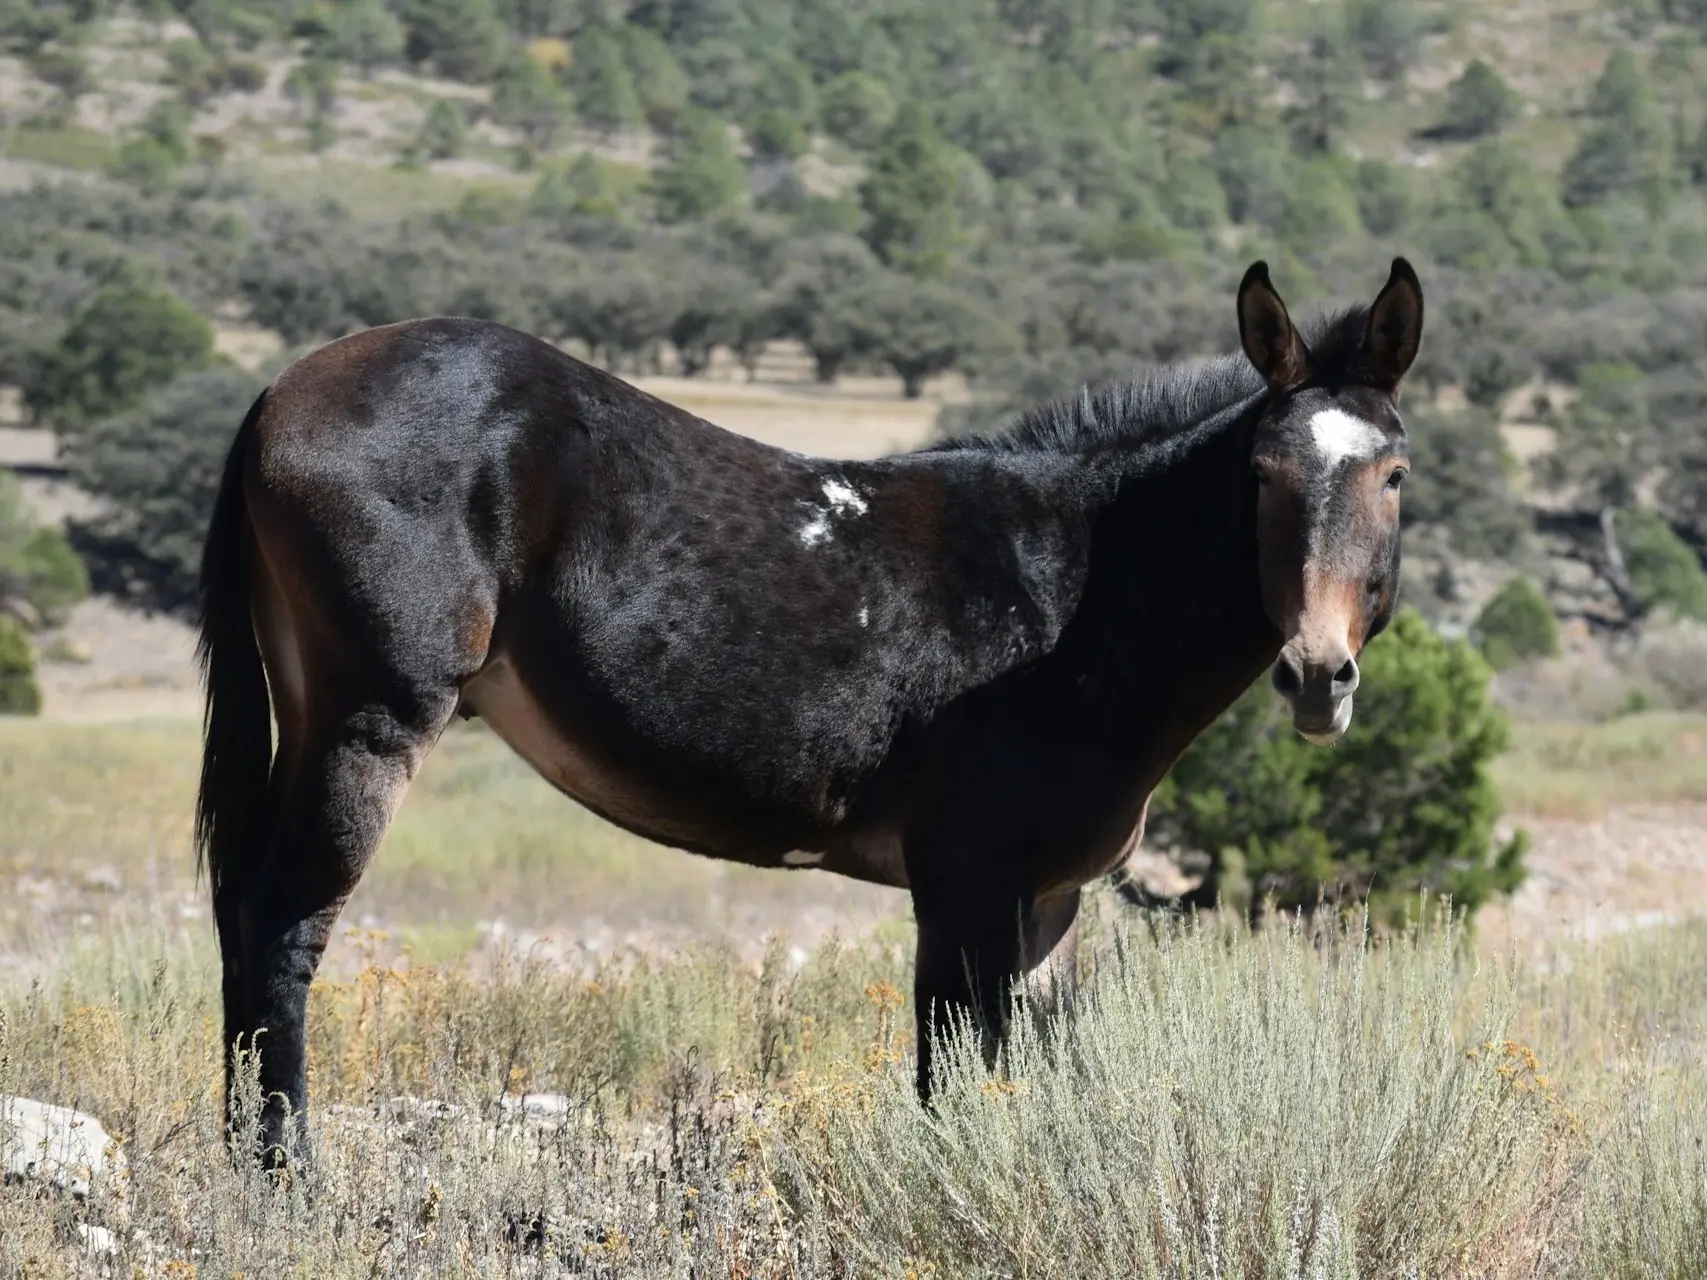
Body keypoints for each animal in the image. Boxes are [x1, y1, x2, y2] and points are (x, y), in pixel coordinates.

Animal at [196, 256, 1427, 1167]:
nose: (1316, 676)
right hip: (373, 720)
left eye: (1396, 475)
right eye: (1262, 476)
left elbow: (1017, 1073)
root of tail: (279, 389)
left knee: (238, 915)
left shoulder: (1048, 898)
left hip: (310, 711)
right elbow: (950, 1078)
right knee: (285, 923)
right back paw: (288, 1184)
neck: (1074, 593)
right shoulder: (966, 883)